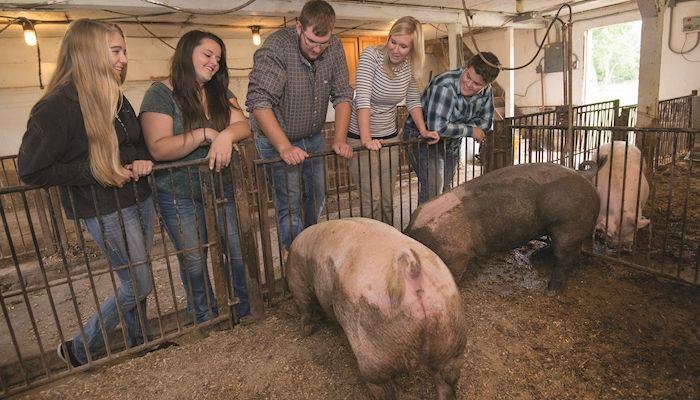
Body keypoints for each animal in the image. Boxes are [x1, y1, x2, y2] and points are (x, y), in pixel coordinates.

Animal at [284, 219, 464, 400]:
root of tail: (412, 271)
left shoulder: (297, 279)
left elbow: (305, 305)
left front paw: (306, 331)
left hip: (373, 353)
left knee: (384, 388)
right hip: (450, 337)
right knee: (446, 381)